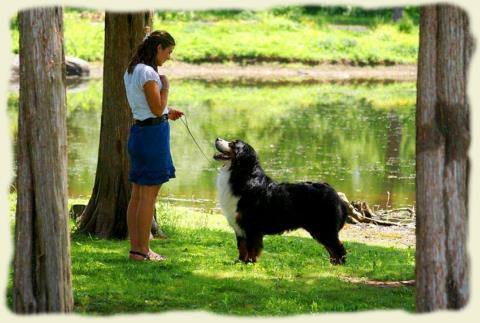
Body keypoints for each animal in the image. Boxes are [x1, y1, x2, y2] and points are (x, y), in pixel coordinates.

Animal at [216, 139, 346, 266]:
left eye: (232, 144)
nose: (217, 139)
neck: (243, 176)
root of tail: (332, 190)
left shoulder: (251, 226)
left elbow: (251, 247)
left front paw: (250, 263)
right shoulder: (239, 225)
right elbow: (242, 247)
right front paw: (240, 262)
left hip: (324, 228)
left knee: (338, 248)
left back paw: (338, 265)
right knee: (332, 248)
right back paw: (332, 265)